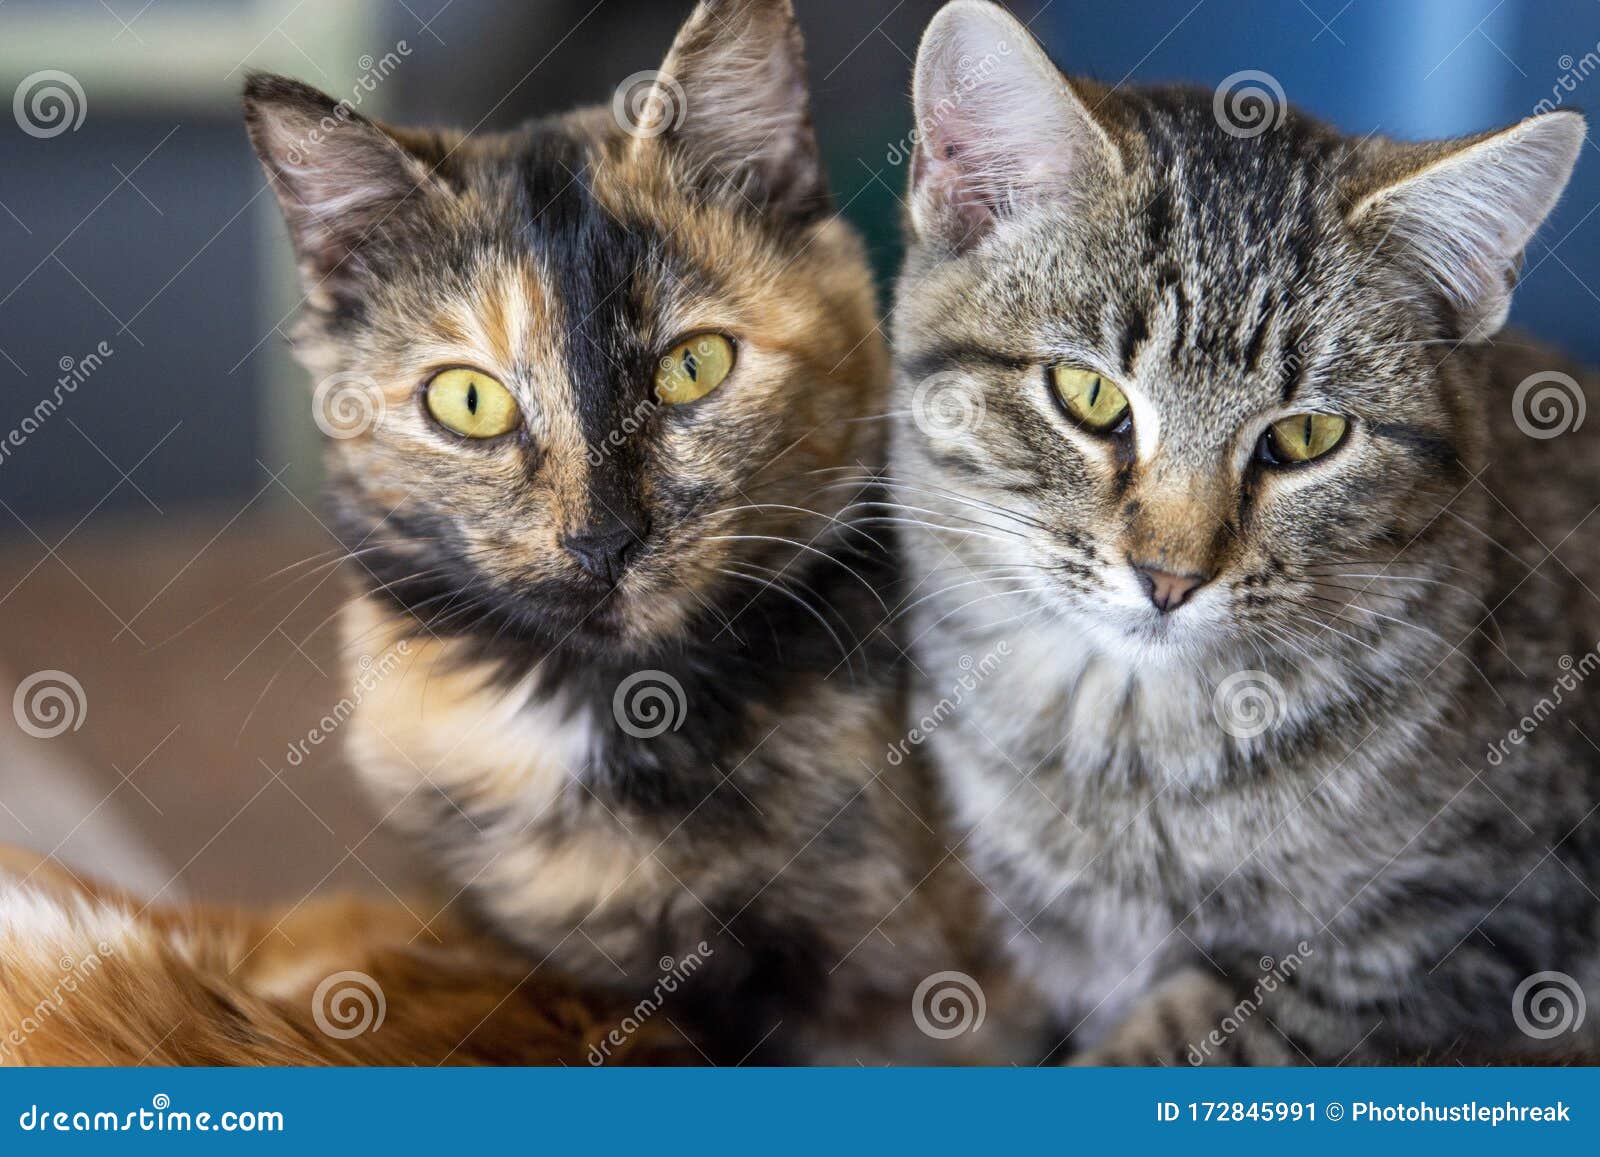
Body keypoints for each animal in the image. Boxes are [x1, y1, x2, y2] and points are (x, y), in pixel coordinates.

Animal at [889, 0, 1600, 1068]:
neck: (1127, 741)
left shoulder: (1465, 941)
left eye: (1306, 437)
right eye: (1089, 394)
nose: (1169, 575)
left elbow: (1205, 1034)